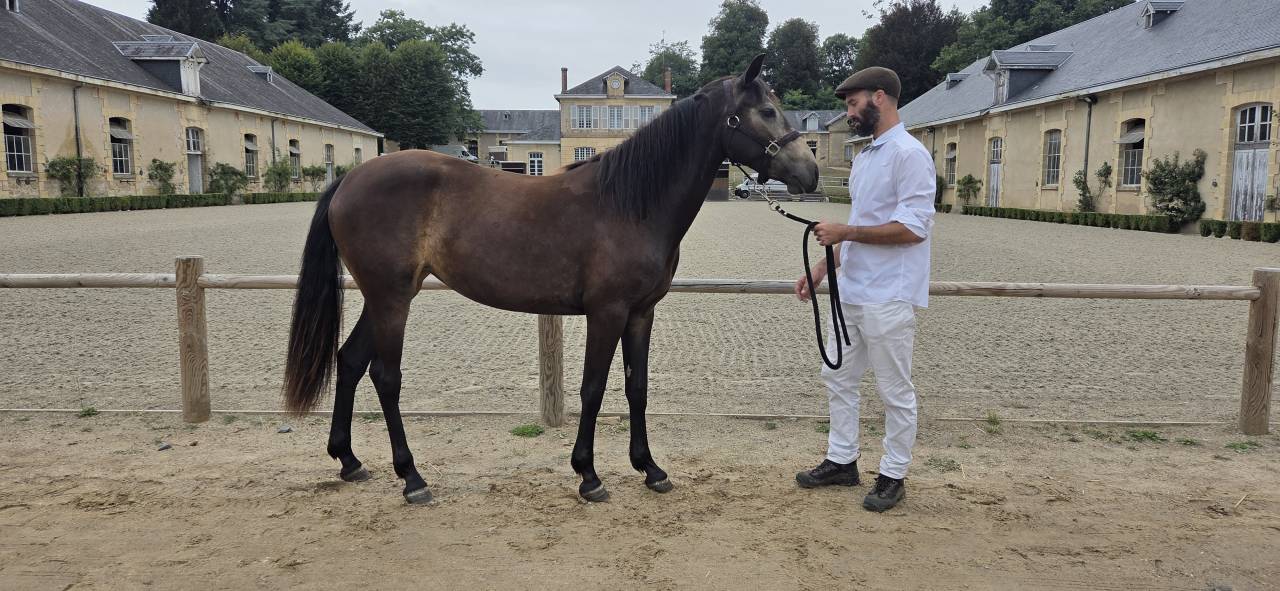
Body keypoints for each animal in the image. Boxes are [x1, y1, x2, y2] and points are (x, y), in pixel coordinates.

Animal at [282, 54, 820, 504]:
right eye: (767, 111)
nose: (810, 173)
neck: (629, 203)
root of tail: (348, 180)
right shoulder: (607, 312)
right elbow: (594, 388)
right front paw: (589, 475)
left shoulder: (641, 313)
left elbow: (637, 388)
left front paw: (650, 469)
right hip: (391, 298)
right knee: (385, 376)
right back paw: (412, 478)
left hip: (385, 297)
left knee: (350, 361)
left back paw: (349, 460)